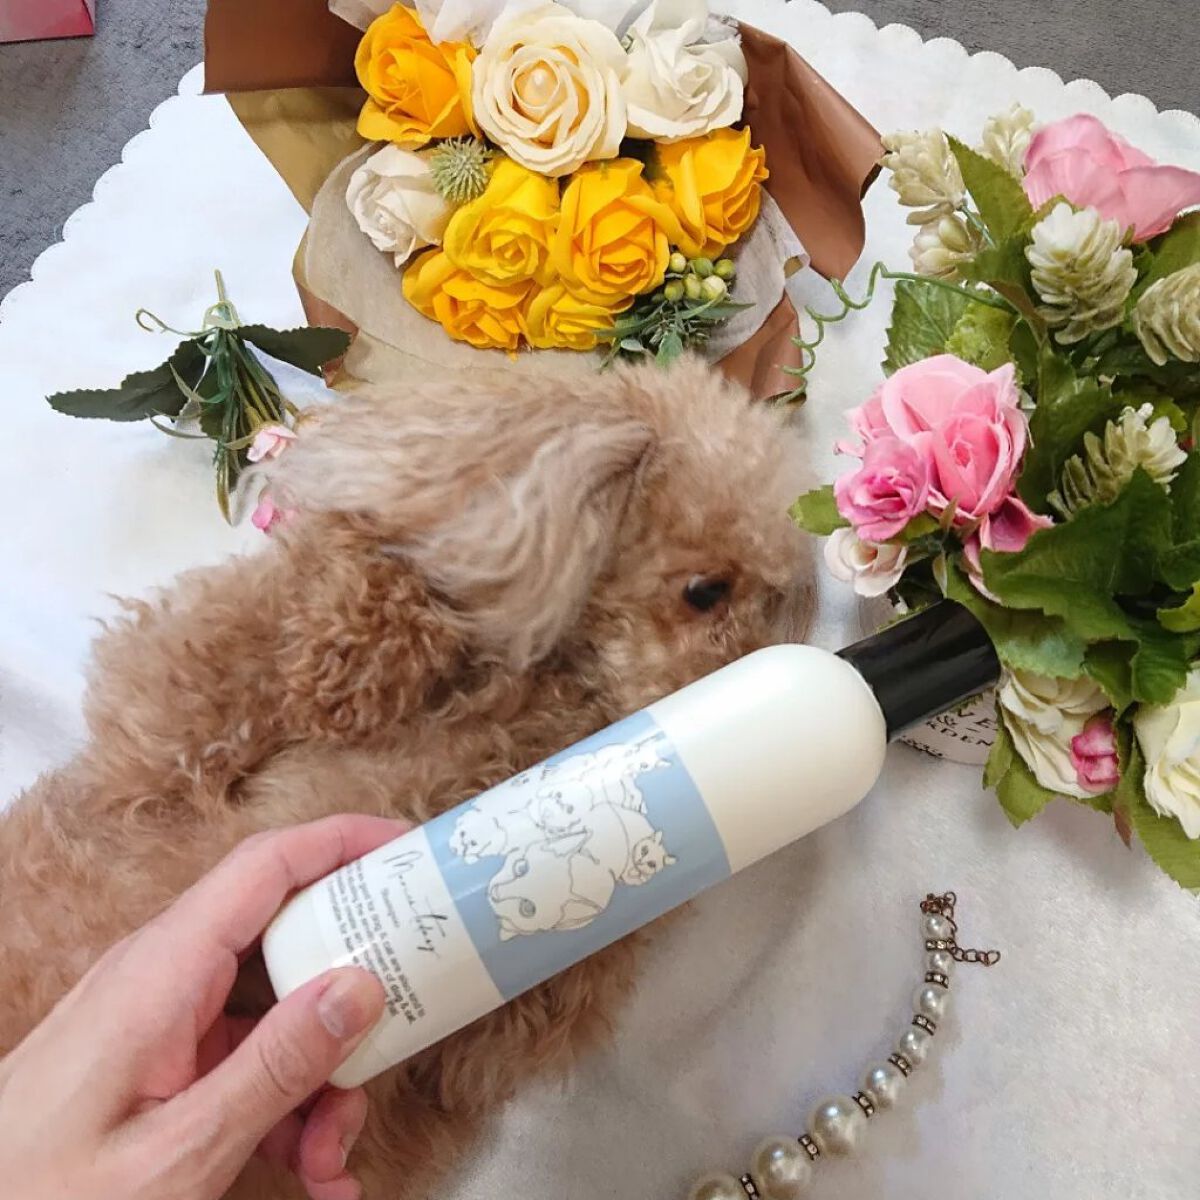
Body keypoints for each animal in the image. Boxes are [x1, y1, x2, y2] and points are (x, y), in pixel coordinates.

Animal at [0, 357, 810, 1198]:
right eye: (706, 591)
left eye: (777, 604)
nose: (746, 689)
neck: (546, 713)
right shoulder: (153, 738)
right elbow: (264, 641)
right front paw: (372, 646)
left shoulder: (510, 1030)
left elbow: (505, 1031)